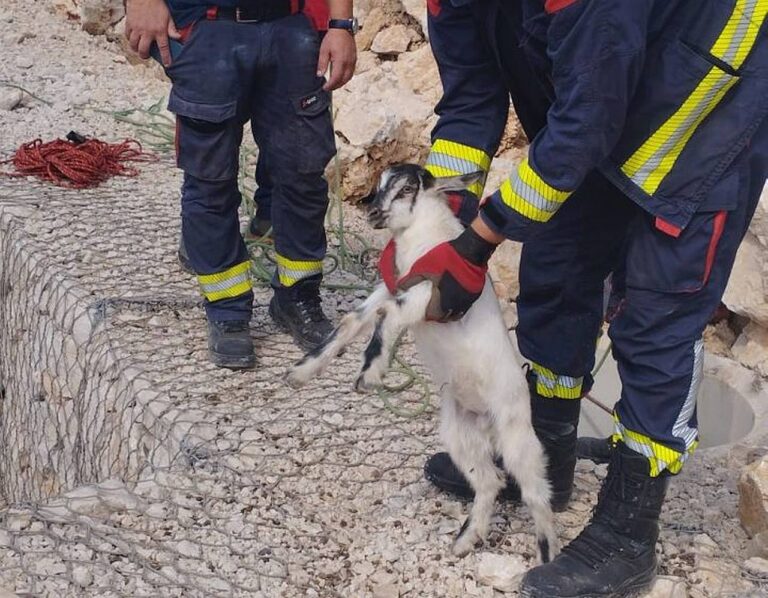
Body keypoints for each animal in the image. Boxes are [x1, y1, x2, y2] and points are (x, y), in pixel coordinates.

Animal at [288, 163, 560, 564]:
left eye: (406, 190)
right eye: (380, 185)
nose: (373, 213)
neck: (424, 238)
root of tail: (488, 418)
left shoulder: (426, 294)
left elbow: (385, 317)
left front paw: (370, 373)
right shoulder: (392, 288)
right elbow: (353, 321)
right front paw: (302, 372)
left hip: (516, 434)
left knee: (536, 492)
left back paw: (546, 554)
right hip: (460, 434)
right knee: (489, 480)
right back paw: (466, 540)